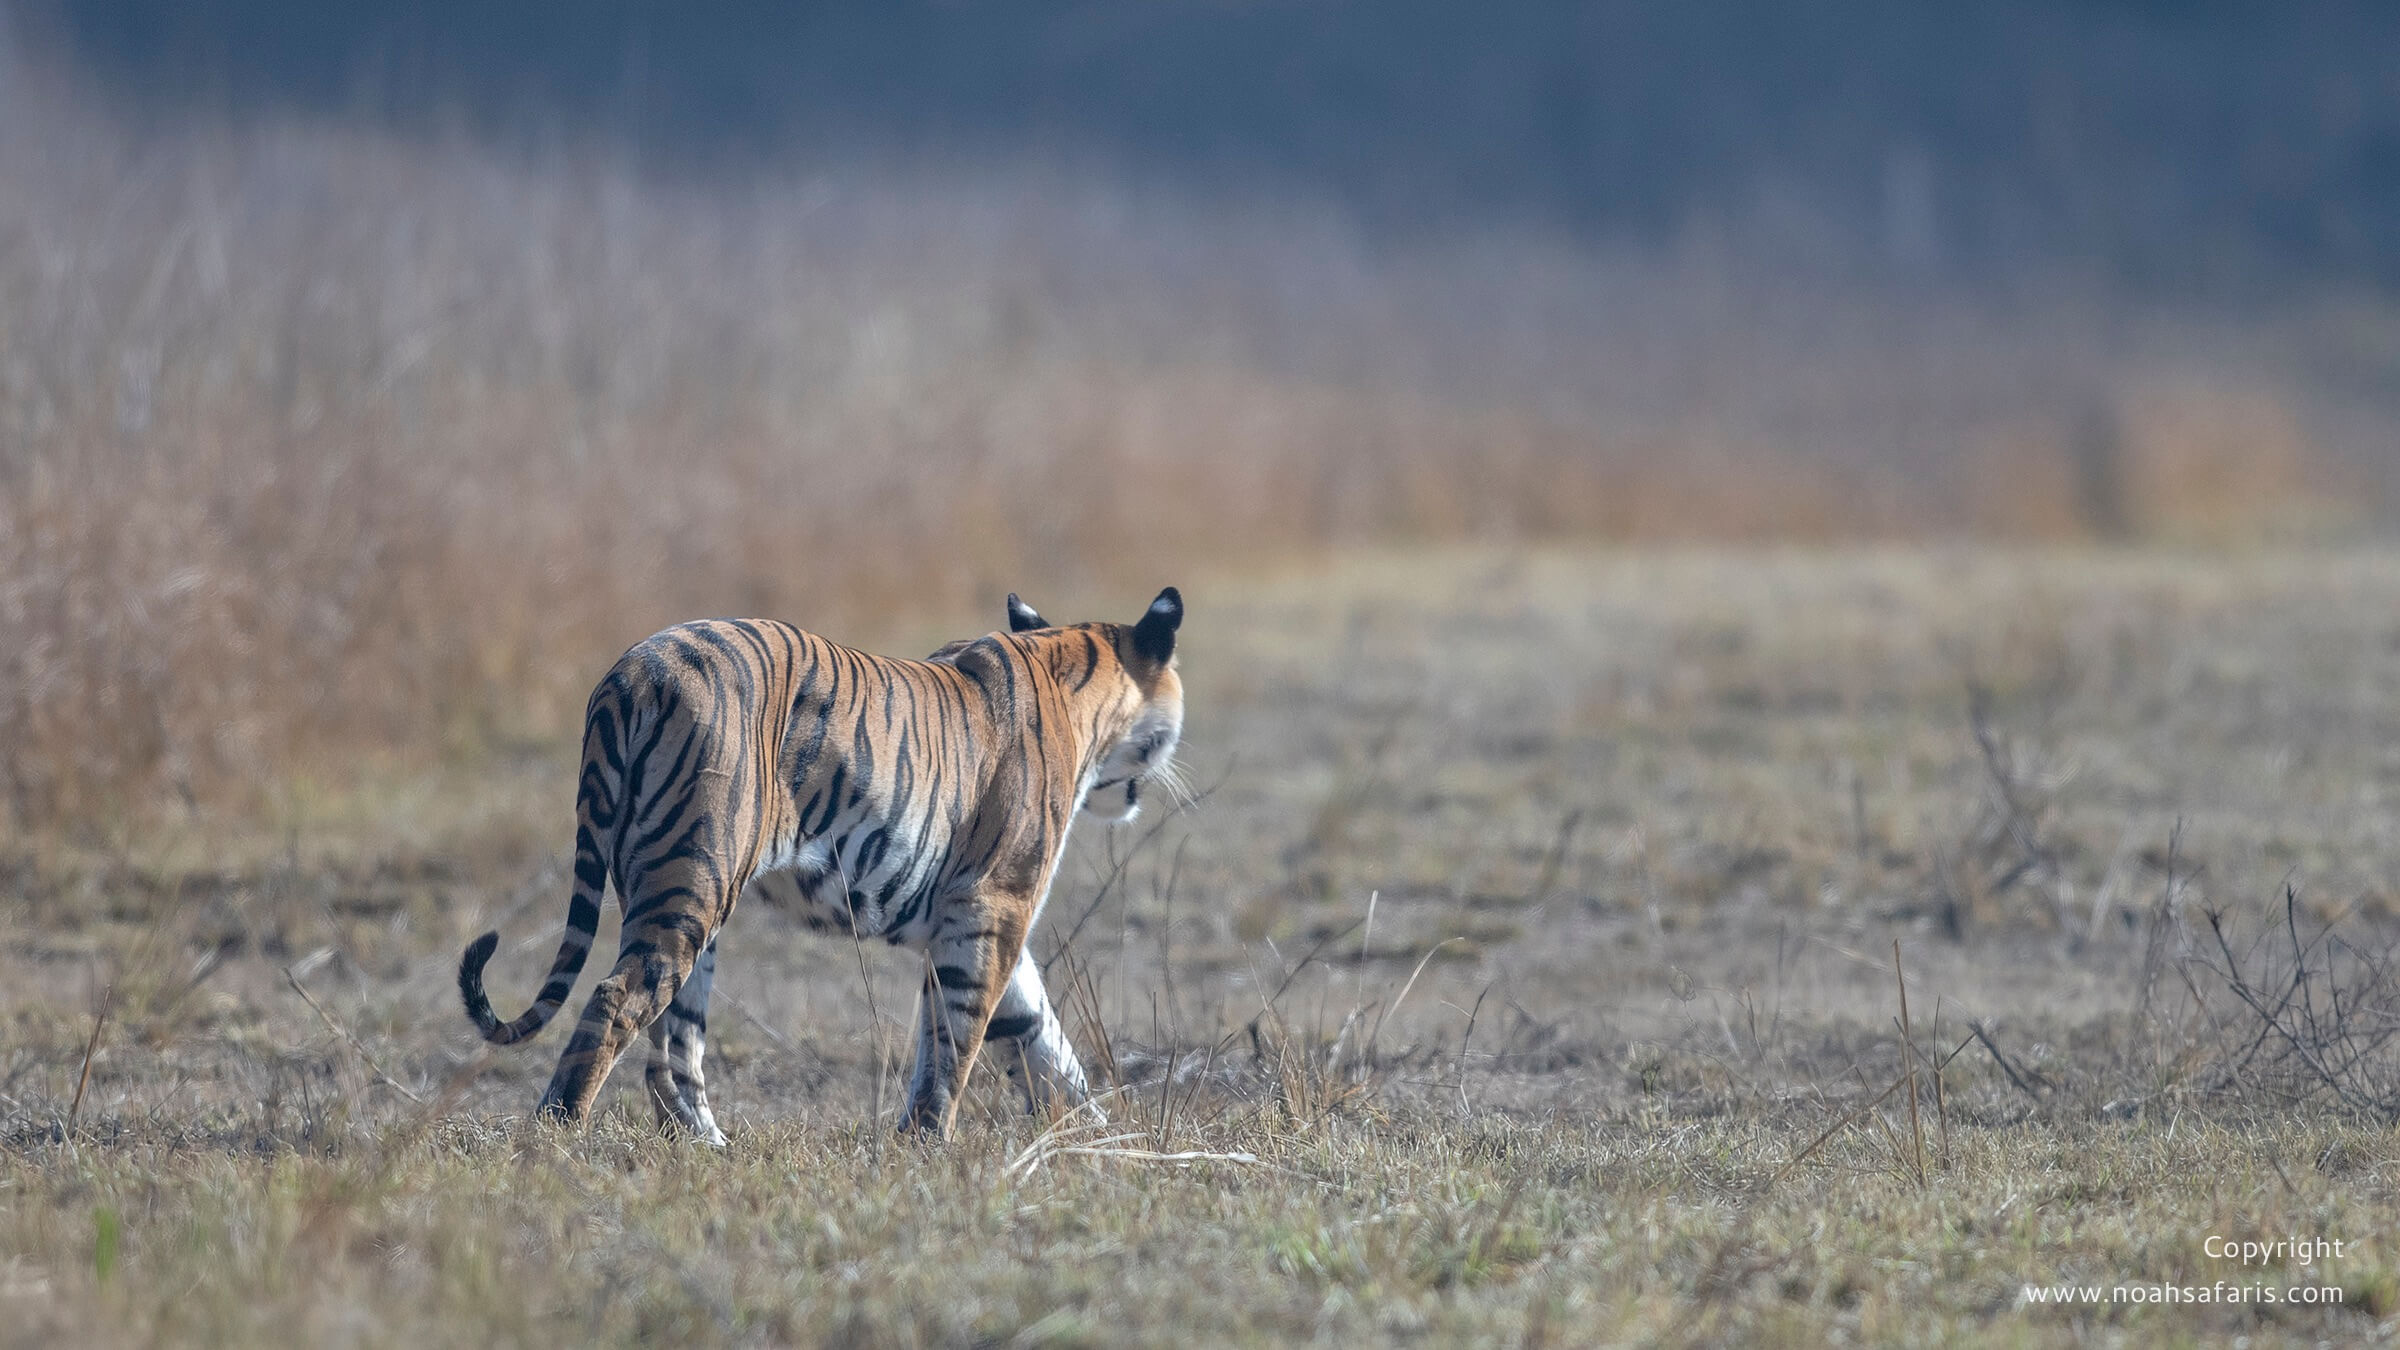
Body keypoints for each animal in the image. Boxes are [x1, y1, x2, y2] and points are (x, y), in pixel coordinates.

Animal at [457, 587, 1185, 1142]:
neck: (1070, 664)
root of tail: (633, 672)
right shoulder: (993, 905)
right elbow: (961, 1036)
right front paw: (928, 1141)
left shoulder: (974, 915)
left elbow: (1035, 1030)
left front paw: (1096, 1135)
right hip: (692, 880)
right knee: (618, 1002)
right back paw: (556, 1136)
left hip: (688, 904)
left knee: (672, 1041)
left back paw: (706, 1146)